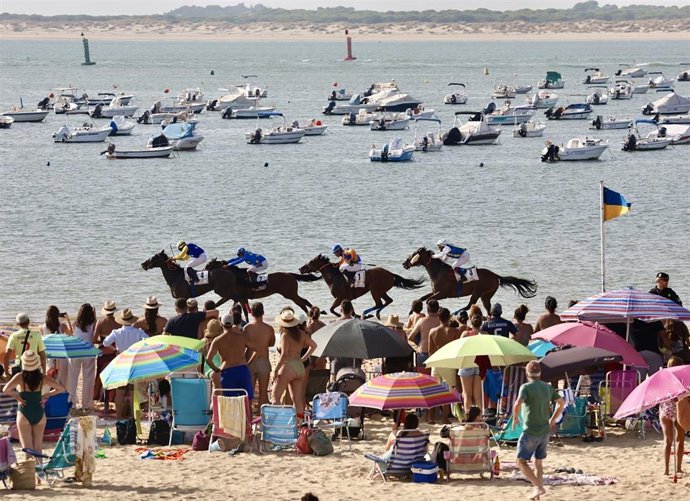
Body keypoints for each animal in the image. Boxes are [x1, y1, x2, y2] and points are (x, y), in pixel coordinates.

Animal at [402, 247, 537, 315]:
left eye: (414, 254)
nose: (404, 263)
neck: (438, 272)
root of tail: (496, 276)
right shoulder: (435, 292)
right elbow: (422, 298)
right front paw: (411, 311)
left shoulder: (443, 294)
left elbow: (428, 300)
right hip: (486, 295)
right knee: (487, 308)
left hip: (478, 292)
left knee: (469, 305)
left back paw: (456, 312)